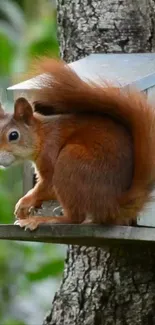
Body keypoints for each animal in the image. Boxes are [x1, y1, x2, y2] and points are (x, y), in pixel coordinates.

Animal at [0, 58, 155, 230]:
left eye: (13, 135)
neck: (42, 135)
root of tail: (113, 206)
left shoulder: (50, 152)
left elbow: (47, 185)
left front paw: (24, 202)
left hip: (70, 162)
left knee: (75, 218)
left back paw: (45, 220)